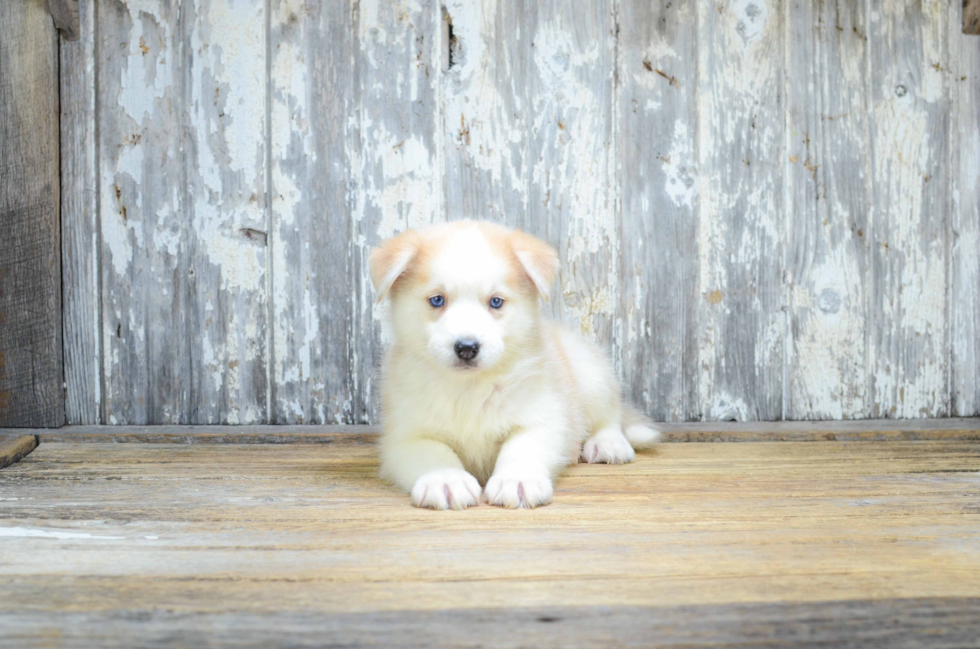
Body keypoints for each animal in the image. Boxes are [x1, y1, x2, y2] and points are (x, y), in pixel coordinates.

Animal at [372, 220, 664, 508]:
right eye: (437, 300)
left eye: (496, 301)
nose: (467, 348)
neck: (470, 388)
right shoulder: (405, 436)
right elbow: (434, 454)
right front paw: (445, 479)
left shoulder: (542, 416)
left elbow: (522, 448)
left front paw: (517, 480)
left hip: (591, 374)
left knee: (610, 414)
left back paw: (608, 444)